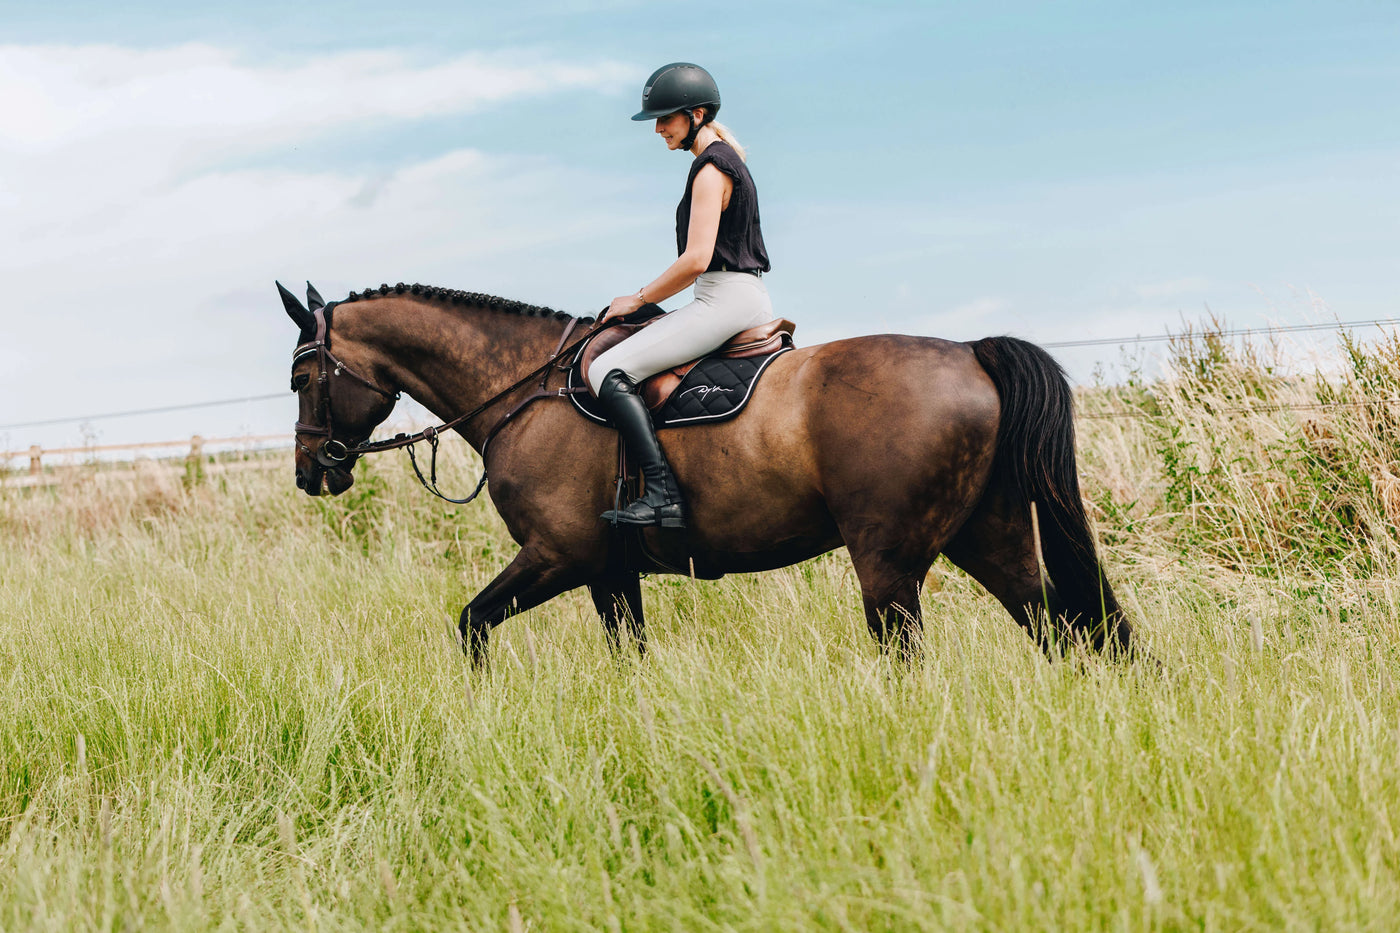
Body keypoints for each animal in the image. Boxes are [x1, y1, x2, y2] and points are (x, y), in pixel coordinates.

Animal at [279, 281, 1135, 667]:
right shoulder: (609, 571)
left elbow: (471, 623)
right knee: (1059, 627)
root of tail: (970, 354)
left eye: (301, 377)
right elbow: (628, 657)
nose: (310, 472)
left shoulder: (559, 555)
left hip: (889, 563)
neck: (524, 388)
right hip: (991, 536)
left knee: (912, 654)